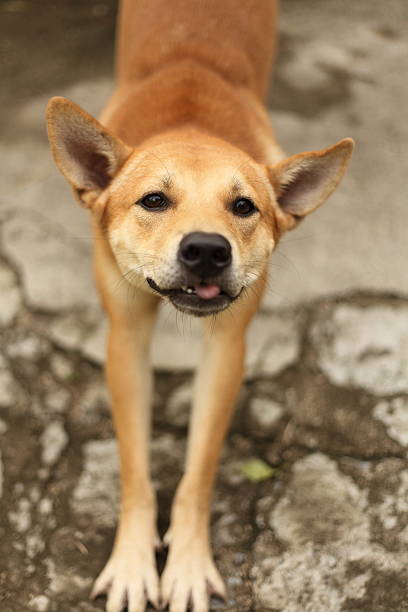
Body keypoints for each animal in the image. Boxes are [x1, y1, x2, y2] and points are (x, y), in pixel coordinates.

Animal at [46, 1, 354, 612]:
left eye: (244, 206)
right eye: (153, 200)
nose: (208, 250)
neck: (191, 122)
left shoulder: (228, 346)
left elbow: (200, 470)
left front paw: (187, 562)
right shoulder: (125, 336)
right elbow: (134, 468)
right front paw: (133, 561)